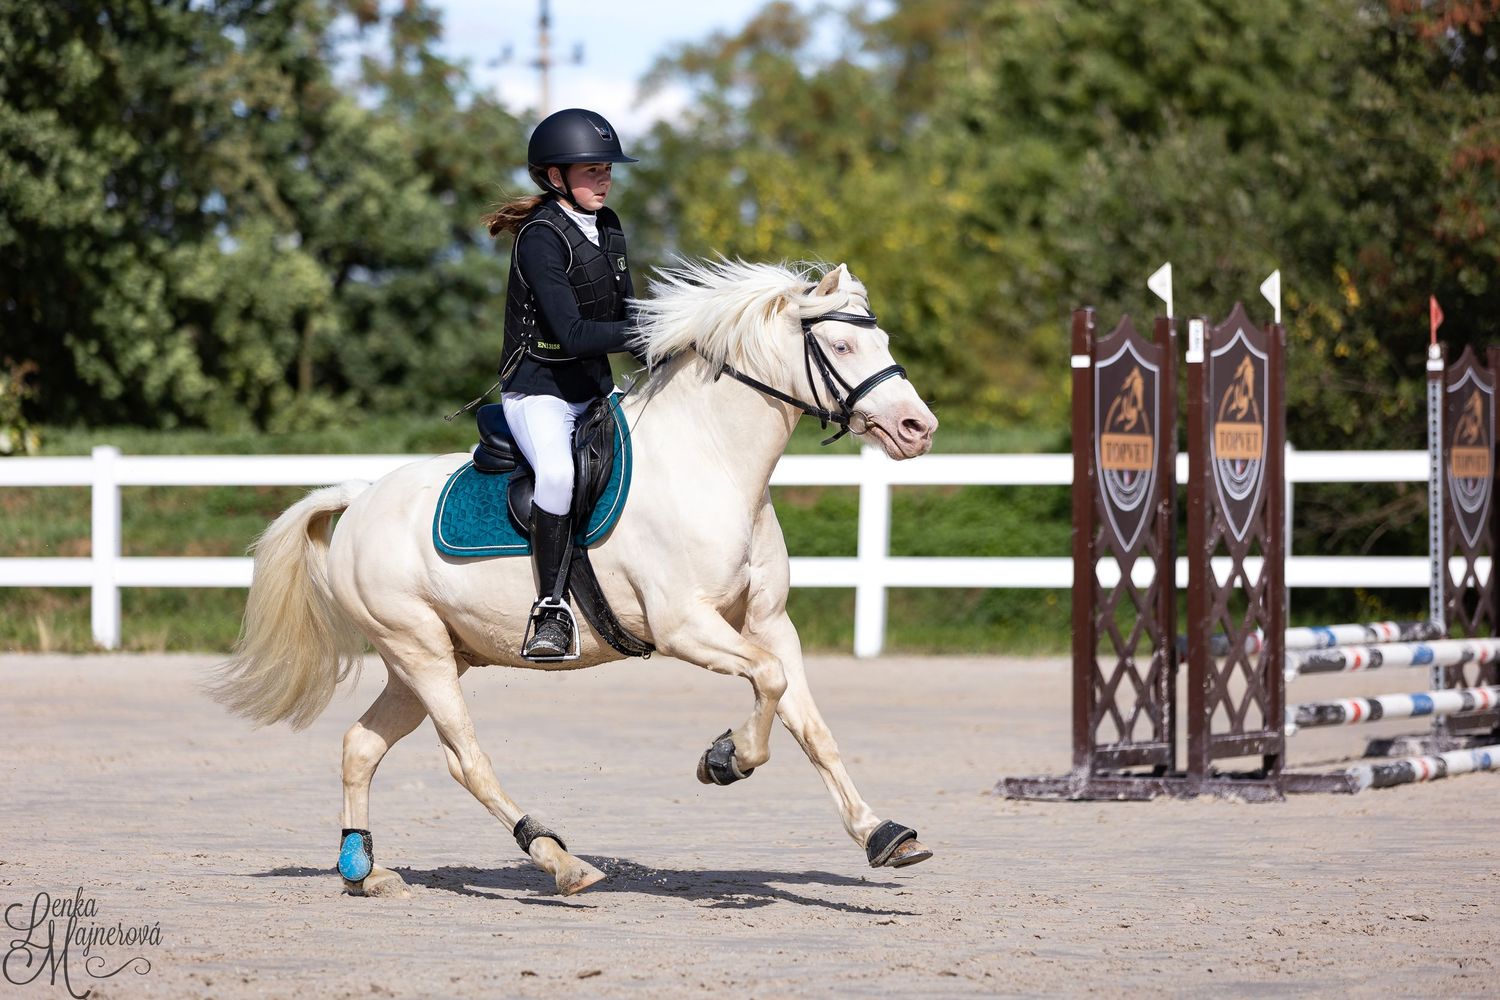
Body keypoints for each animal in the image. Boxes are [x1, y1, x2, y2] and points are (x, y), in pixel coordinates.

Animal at [210, 259, 939, 897]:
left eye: (882, 340)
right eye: (841, 344)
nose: (918, 428)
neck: (710, 461)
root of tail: (360, 498)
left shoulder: (767, 623)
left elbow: (808, 722)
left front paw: (881, 835)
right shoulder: (684, 626)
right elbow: (768, 681)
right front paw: (727, 759)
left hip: (427, 659)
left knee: (360, 747)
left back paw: (366, 870)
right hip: (419, 652)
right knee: (464, 759)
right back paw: (559, 861)